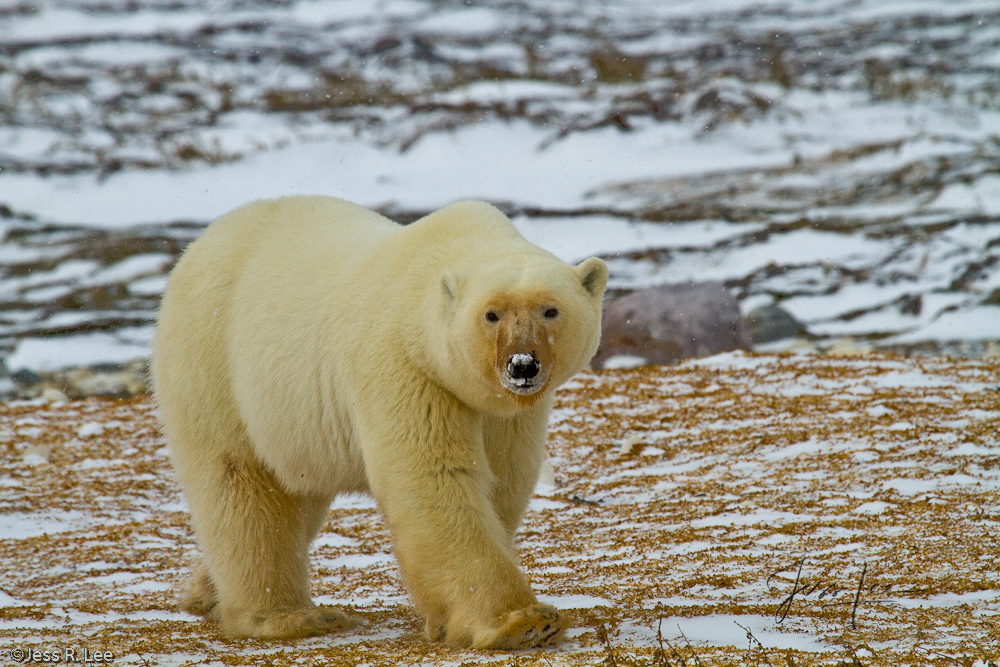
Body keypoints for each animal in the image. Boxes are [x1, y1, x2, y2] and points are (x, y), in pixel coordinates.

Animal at [152, 196, 604, 648]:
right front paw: (522, 621)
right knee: (241, 488)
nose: (522, 365)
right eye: (491, 315)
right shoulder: (404, 366)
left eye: (551, 310)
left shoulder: (503, 411)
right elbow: (434, 479)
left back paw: (205, 592)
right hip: (215, 367)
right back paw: (288, 616)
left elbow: (505, 479)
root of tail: (198, 246)